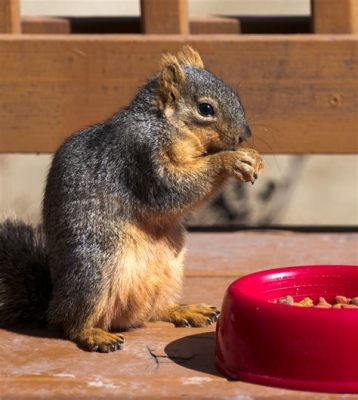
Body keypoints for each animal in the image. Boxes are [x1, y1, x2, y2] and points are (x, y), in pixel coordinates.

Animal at [0, 47, 262, 354]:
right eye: (205, 109)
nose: (245, 136)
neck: (163, 124)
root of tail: (53, 300)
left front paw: (252, 156)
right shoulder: (140, 157)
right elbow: (173, 189)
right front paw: (231, 160)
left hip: (169, 271)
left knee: (153, 311)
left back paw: (184, 310)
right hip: (93, 274)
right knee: (69, 323)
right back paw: (93, 334)